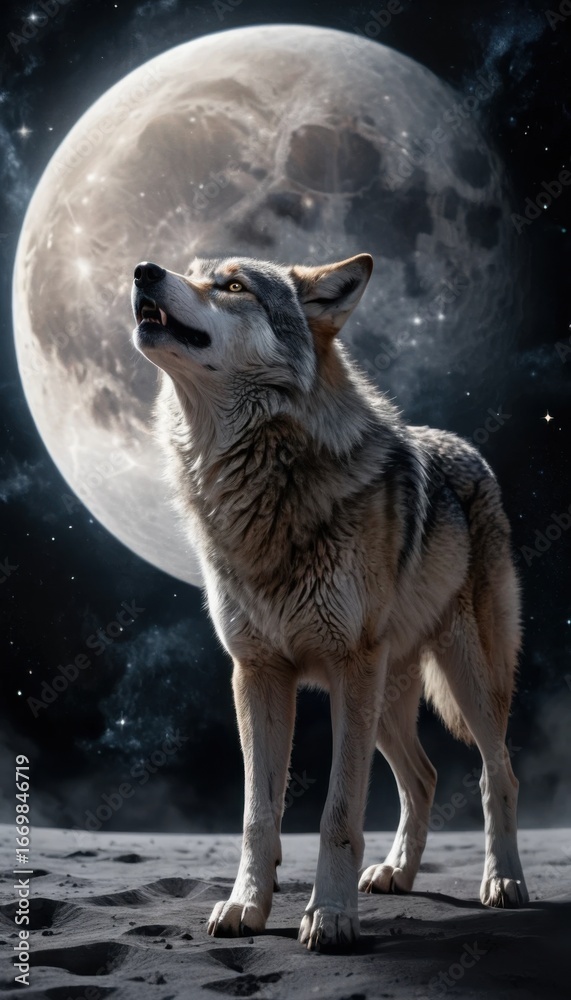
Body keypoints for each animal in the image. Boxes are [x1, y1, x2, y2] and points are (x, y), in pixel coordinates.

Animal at [131, 251, 528, 952]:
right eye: (191, 269)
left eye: (234, 285)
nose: (142, 270)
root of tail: (465, 445)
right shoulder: (257, 674)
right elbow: (258, 816)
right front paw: (246, 906)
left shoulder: (348, 665)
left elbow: (338, 812)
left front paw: (332, 916)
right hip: (385, 703)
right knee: (424, 778)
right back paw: (397, 873)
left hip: (461, 681)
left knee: (496, 774)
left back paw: (504, 881)